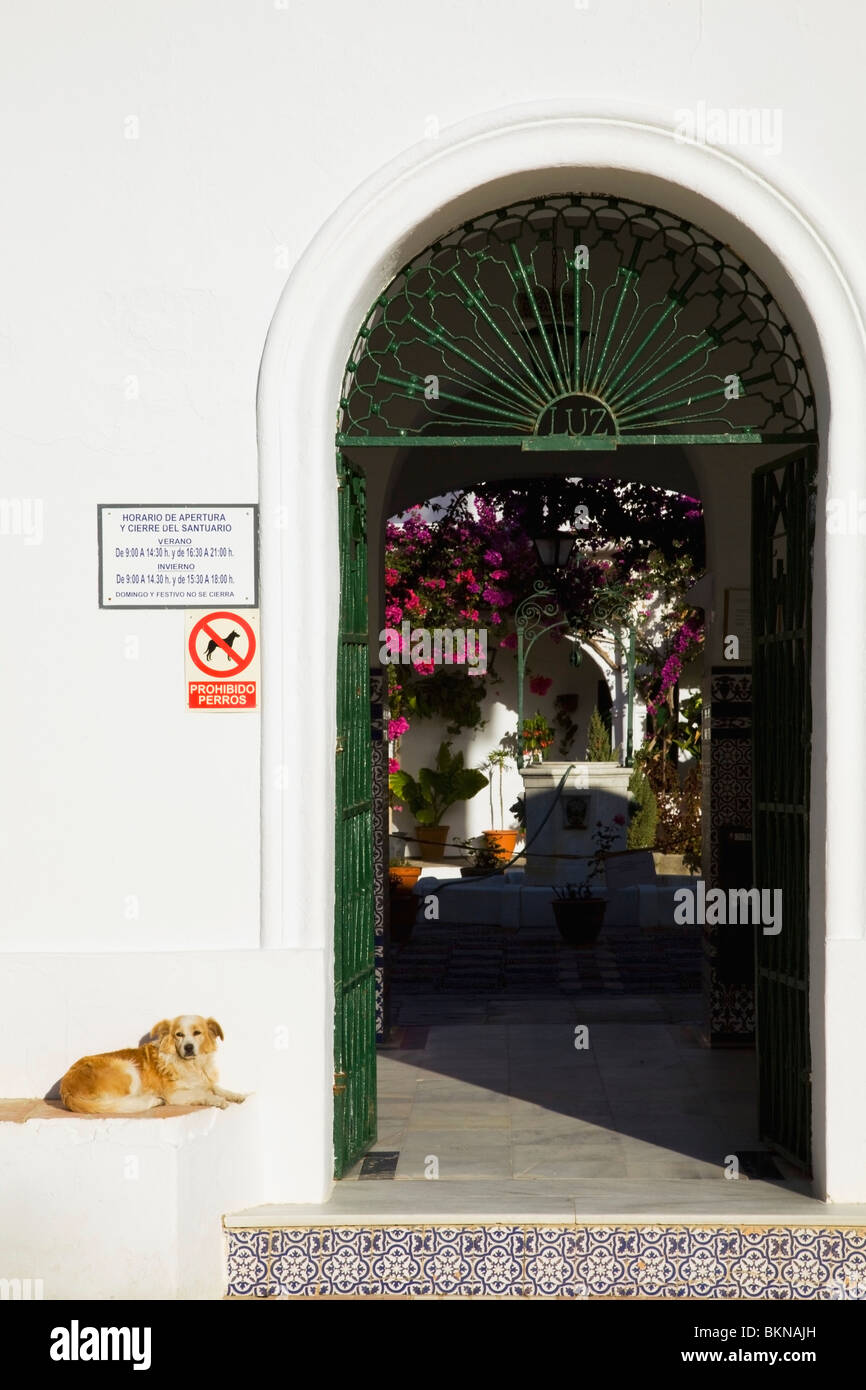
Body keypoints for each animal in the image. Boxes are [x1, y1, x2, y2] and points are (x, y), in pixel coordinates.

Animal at [58, 1017, 246, 1112]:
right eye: (179, 1034)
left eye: (197, 1033)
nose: (189, 1047)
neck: (191, 1065)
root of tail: (66, 1088)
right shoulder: (174, 1095)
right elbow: (202, 1093)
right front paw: (218, 1100)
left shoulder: (203, 1081)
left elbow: (216, 1087)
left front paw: (236, 1095)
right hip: (128, 1069)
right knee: (122, 1104)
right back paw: (153, 1100)